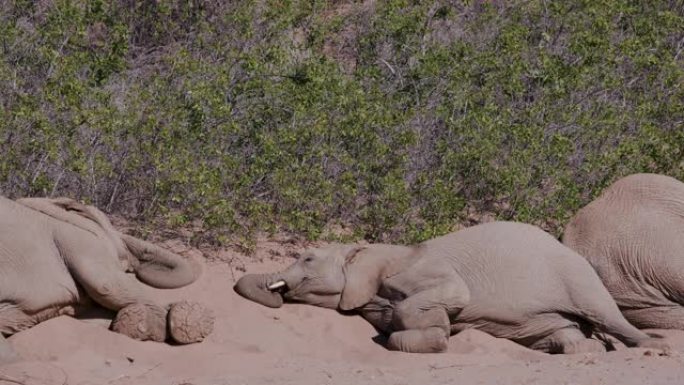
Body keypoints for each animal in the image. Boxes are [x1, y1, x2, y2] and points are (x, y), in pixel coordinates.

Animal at [235, 220, 668, 352]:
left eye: (307, 258)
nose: (277, 288)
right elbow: (393, 331)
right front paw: (439, 332)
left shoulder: (424, 267)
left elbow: (453, 296)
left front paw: (441, 333)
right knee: (563, 333)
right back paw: (578, 350)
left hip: (580, 278)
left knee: (606, 315)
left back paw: (652, 347)